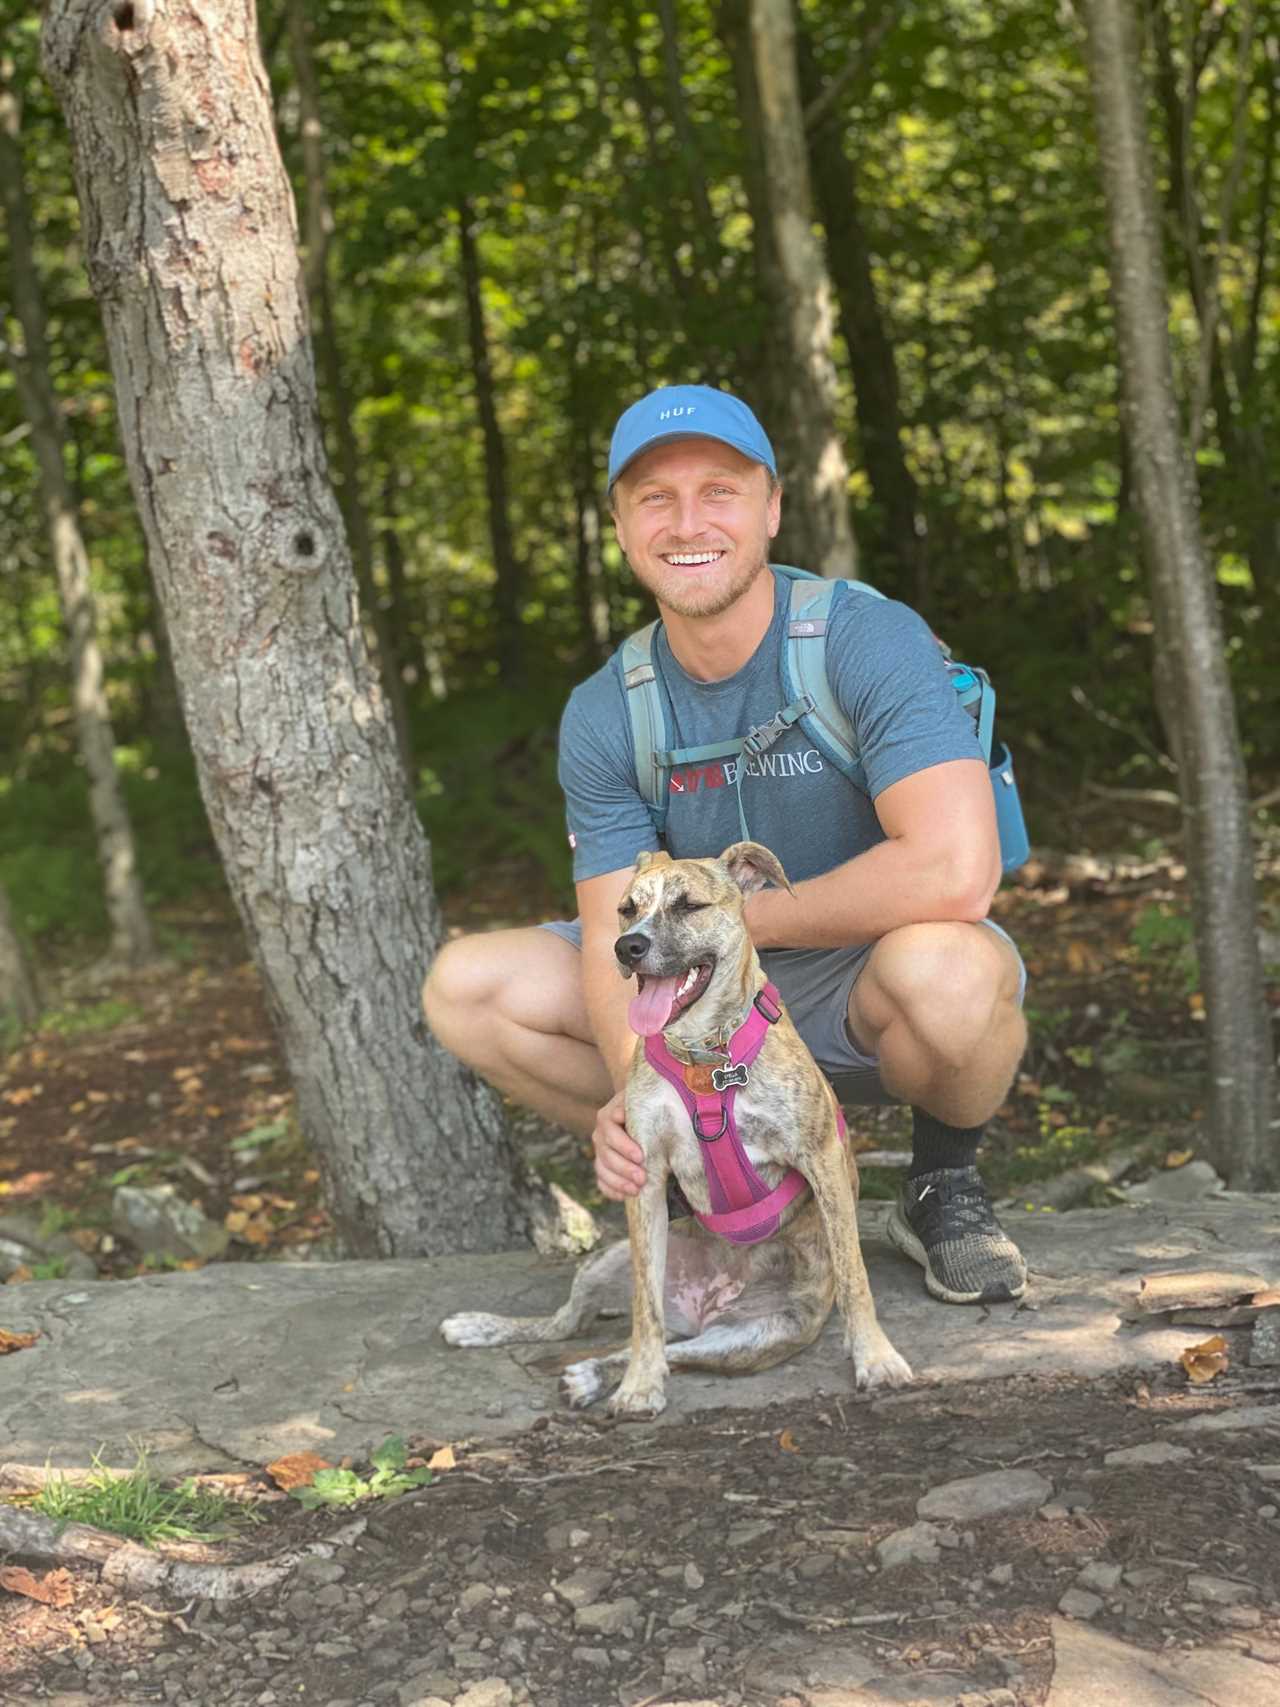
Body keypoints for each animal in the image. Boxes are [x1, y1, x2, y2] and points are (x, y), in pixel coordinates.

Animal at [440, 839, 914, 1413]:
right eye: (626, 908)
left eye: (689, 906)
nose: (627, 947)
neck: (703, 1056)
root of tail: (703, 1307)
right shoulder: (643, 1175)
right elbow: (644, 1311)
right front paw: (640, 1387)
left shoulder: (820, 1157)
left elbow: (854, 1273)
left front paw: (876, 1358)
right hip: (611, 1259)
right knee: (583, 1325)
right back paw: (494, 1332)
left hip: (755, 1337)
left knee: (675, 1350)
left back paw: (589, 1375)